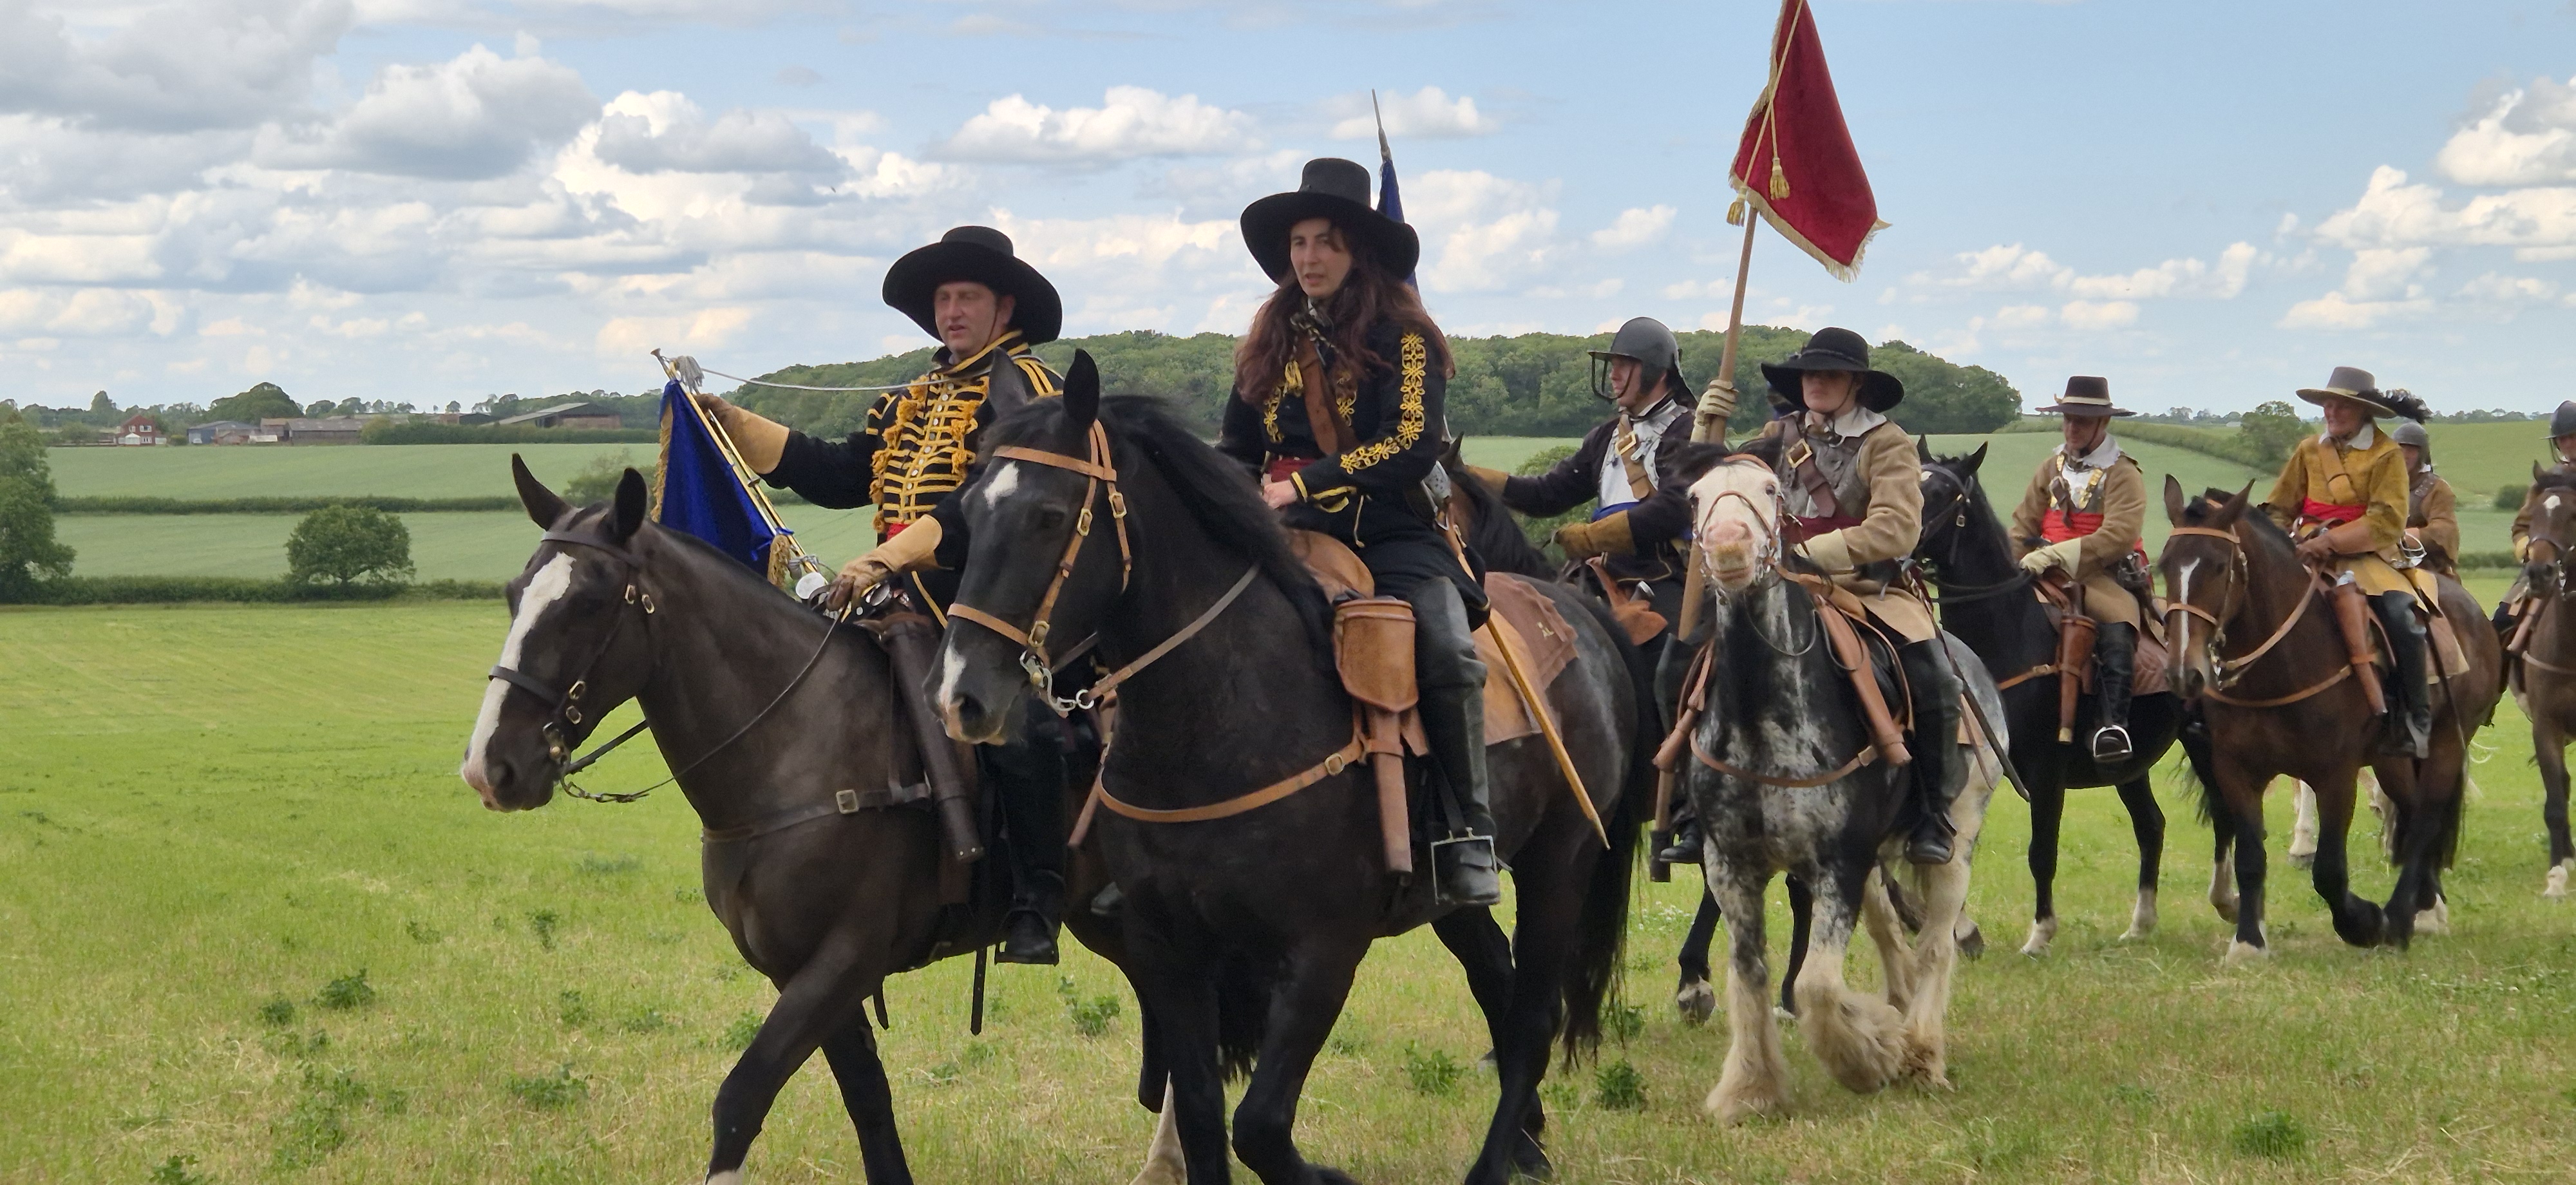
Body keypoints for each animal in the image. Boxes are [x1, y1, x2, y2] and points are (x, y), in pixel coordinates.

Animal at [461, 458, 1220, 1185]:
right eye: (512, 595)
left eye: (589, 602)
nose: (489, 767)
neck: (795, 745)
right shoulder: (800, 971)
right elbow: (868, 1102)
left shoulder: (844, 959)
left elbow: (741, 1097)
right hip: (1113, 923)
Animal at [933, 366, 1651, 1185]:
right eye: (966, 513)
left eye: (1049, 516)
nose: (960, 696)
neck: (1227, 715)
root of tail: (1582, 613)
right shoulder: (1168, 949)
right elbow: (1205, 1116)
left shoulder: (1322, 951)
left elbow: (1260, 1125)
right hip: (1453, 899)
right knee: (1497, 984)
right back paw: (1527, 1142)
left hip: (1559, 862)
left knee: (1533, 1016)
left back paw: (1495, 1162)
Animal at [1671, 447, 2003, 1123]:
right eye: (1696, 498)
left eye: (1770, 491)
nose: (1727, 546)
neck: (1762, 717)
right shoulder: (1731, 867)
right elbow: (1750, 973)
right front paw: (1751, 1088)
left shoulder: (1837, 863)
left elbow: (1816, 984)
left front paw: (1865, 1059)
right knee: (1889, 932)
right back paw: (1899, 1018)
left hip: (1956, 843)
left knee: (1936, 943)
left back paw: (1921, 1053)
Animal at [1916, 444, 2181, 955]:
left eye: (1939, 493)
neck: (2006, 631)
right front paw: (1959, 929)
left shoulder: (2046, 773)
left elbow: (2041, 851)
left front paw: (2040, 933)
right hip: (2128, 768)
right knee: (2152, 826)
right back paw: (2141, 923)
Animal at [2158, 480, 2502, 962]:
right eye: (2165, 565)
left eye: (2219, 565)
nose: (2182, 673)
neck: (2282, 662)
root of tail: (2471, 611)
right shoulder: (2235, 771)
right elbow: (2250, 856)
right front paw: (2248, 942)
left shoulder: (2336, 775)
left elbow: (2328, 870)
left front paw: (2365, 922)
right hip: (2392, 758)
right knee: (2411, 810)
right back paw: (2427, 906)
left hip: (2447, 744)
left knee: (2426, 819)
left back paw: (2400, 917)